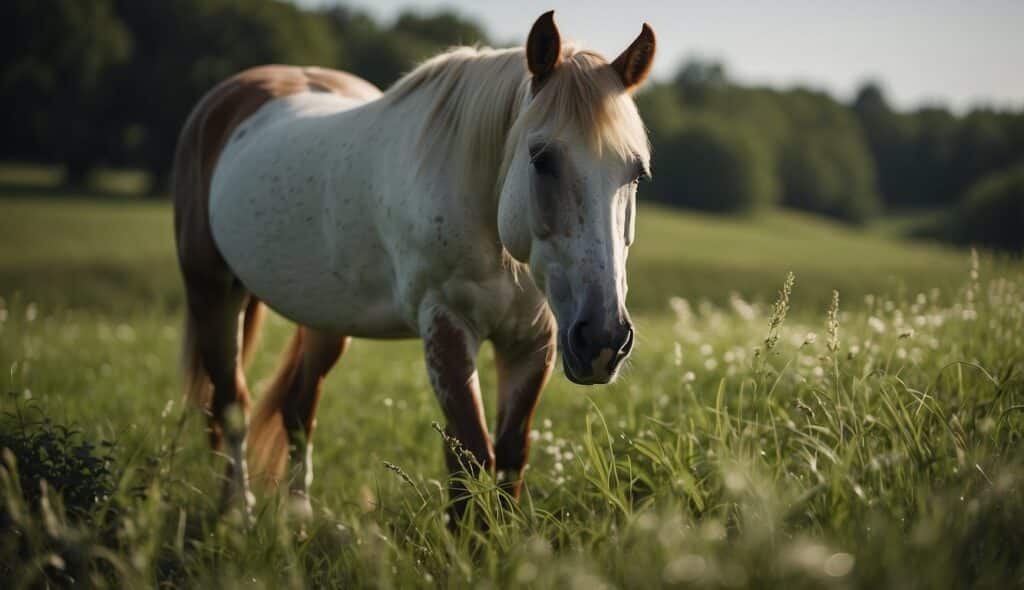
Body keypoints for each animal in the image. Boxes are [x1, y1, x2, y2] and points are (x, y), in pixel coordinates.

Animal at [173, 11, 655, 520]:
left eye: (636, 173)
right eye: (542, 159)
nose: (603, 340)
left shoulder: (533, 341)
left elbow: (510, 458)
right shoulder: (444, 324)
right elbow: (470, 457)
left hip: (325, 321)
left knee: (298, 410)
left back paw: (298, 519)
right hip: (213, 294)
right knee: (232, 406)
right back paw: (237, 513)